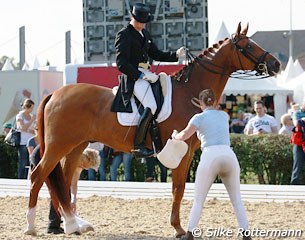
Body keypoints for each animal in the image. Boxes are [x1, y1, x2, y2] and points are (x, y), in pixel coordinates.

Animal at [25, 23, 280, 237]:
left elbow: (181, 188)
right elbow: (178, 188)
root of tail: (55, 94)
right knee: (39, 175)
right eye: (248, 46)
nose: (276, 64)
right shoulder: (181, 150)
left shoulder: (189, 152)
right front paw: (178, 229)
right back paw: (32, 227)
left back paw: (71, 225)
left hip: (76, 145)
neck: (189, 93)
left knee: (64, 179)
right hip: (59, 144)